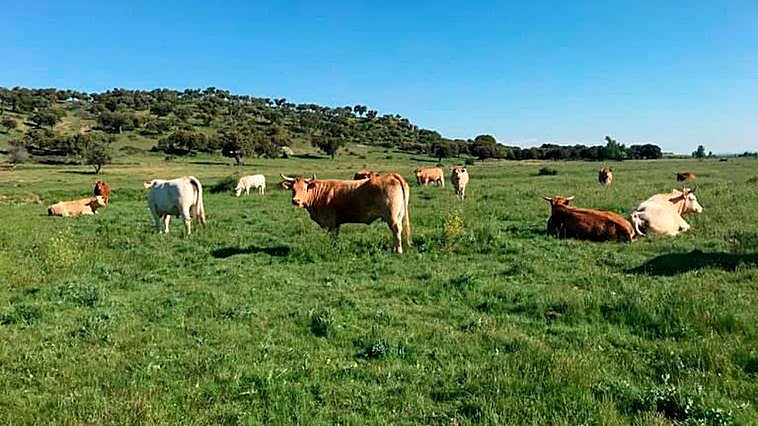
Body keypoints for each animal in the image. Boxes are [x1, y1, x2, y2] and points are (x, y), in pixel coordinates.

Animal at [280, 173, 411, 253]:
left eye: (304, 188)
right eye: (293, 189)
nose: (295, 201)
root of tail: (391, 175)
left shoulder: (330, 222)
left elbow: (332, 236)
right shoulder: (336, 223)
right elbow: (336, 237)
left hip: (392, 216)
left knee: (396, 230)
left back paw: (398, 251)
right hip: (398, 215)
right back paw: (394, 248)